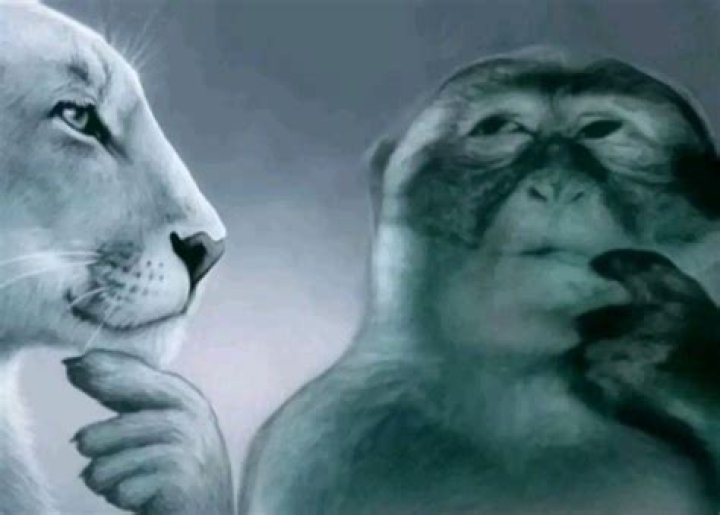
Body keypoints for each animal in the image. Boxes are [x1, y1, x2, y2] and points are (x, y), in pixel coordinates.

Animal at [237, 48, 720, 515]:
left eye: (601, 130)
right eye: (503, 128)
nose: (558, 184)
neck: (525, 396)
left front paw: (683, 359)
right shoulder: (312, 444)